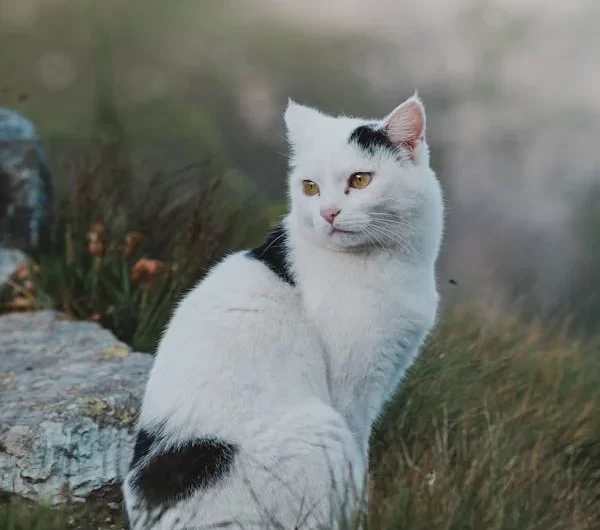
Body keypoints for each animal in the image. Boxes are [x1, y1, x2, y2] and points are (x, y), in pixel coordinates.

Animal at [122, 93, 442, 524]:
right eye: (310, 187)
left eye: (360, 180)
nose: (327, 213)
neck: (395, 262)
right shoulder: (353, 393)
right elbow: (360, 459)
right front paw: (365, 513)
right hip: (320, 427)